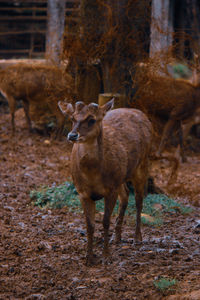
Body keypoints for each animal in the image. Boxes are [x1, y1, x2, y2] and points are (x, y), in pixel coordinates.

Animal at [58, 98, 152, 264]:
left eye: (92, 120)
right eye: (73, 118)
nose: (72, 135)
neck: (92, 175)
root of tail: (141, 113)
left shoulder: (110, 189)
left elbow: (105, 221)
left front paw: (106, 256)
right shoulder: (82, 192)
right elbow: (89, 225)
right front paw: (88, 258)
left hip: (141, 165)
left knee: (139, 201)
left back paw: (137, 238)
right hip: (121, 176)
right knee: (126, 195)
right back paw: (117, 237)